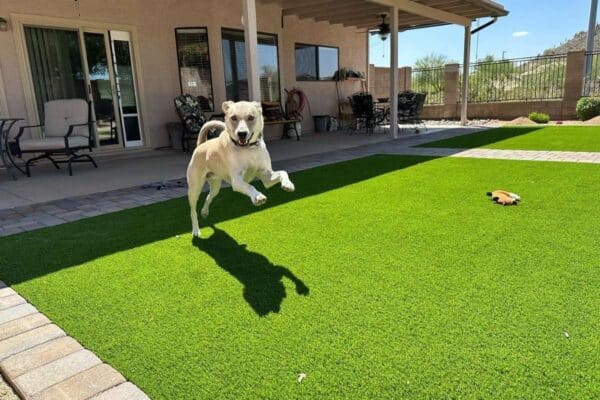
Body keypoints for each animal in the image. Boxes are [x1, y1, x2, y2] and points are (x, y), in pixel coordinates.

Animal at [185, 101, 292, 238]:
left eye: (251, 117)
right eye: (233, 118)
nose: (242, 133)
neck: (248, 149)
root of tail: (201, 145)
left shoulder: (266, 176)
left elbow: (283, 172)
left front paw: (288, 184)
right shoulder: (237, 181)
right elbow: (249, 186)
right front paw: (258, 197)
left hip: (215, 186)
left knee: (209, 197)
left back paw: (204, 212)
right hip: (194, 188)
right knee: (192, 210)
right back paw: (195, 230)